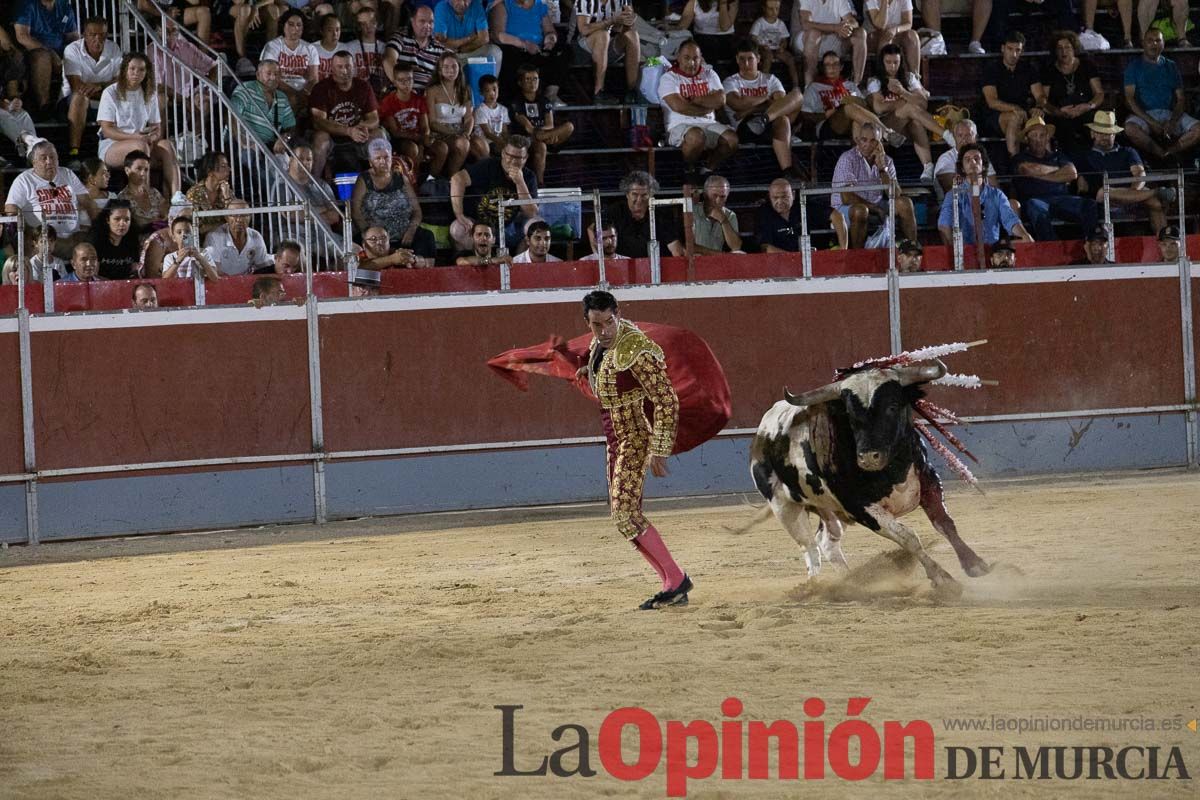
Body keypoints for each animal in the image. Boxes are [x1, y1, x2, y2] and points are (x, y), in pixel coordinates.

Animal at [748, 359, 993, 592]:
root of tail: (761, 434)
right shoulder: (860, 507)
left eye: (892, 406)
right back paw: (816, 587)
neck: (892, 471)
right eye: (849, 413)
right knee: (809, 547)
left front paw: (974, 564)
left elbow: (944, 523)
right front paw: (942, 578)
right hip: (784, 507)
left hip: (831, 511)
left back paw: (851, 581)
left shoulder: (928, 480)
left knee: (827, 543)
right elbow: (908, 537)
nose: (868, 457)